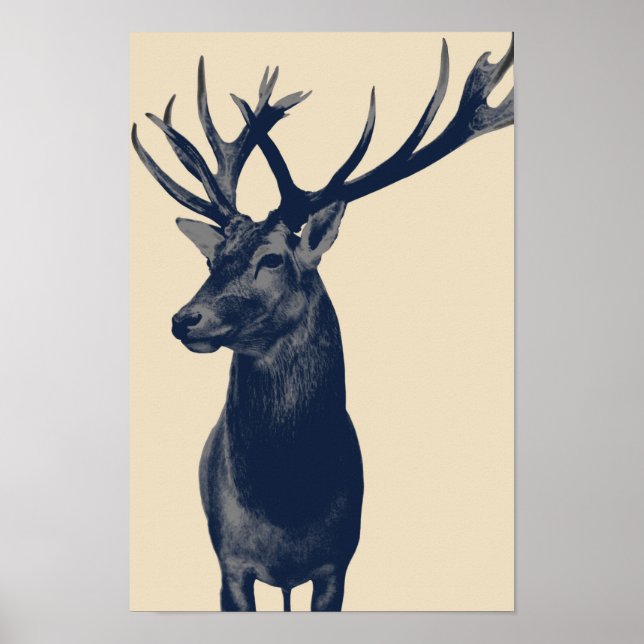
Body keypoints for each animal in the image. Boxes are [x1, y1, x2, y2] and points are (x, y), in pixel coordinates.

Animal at [131, 35, 514, 612]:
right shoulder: (229, 564)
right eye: (211, 259)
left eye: (272, 258)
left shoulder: (338, 564)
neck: (288, 511)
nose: (184, 319)